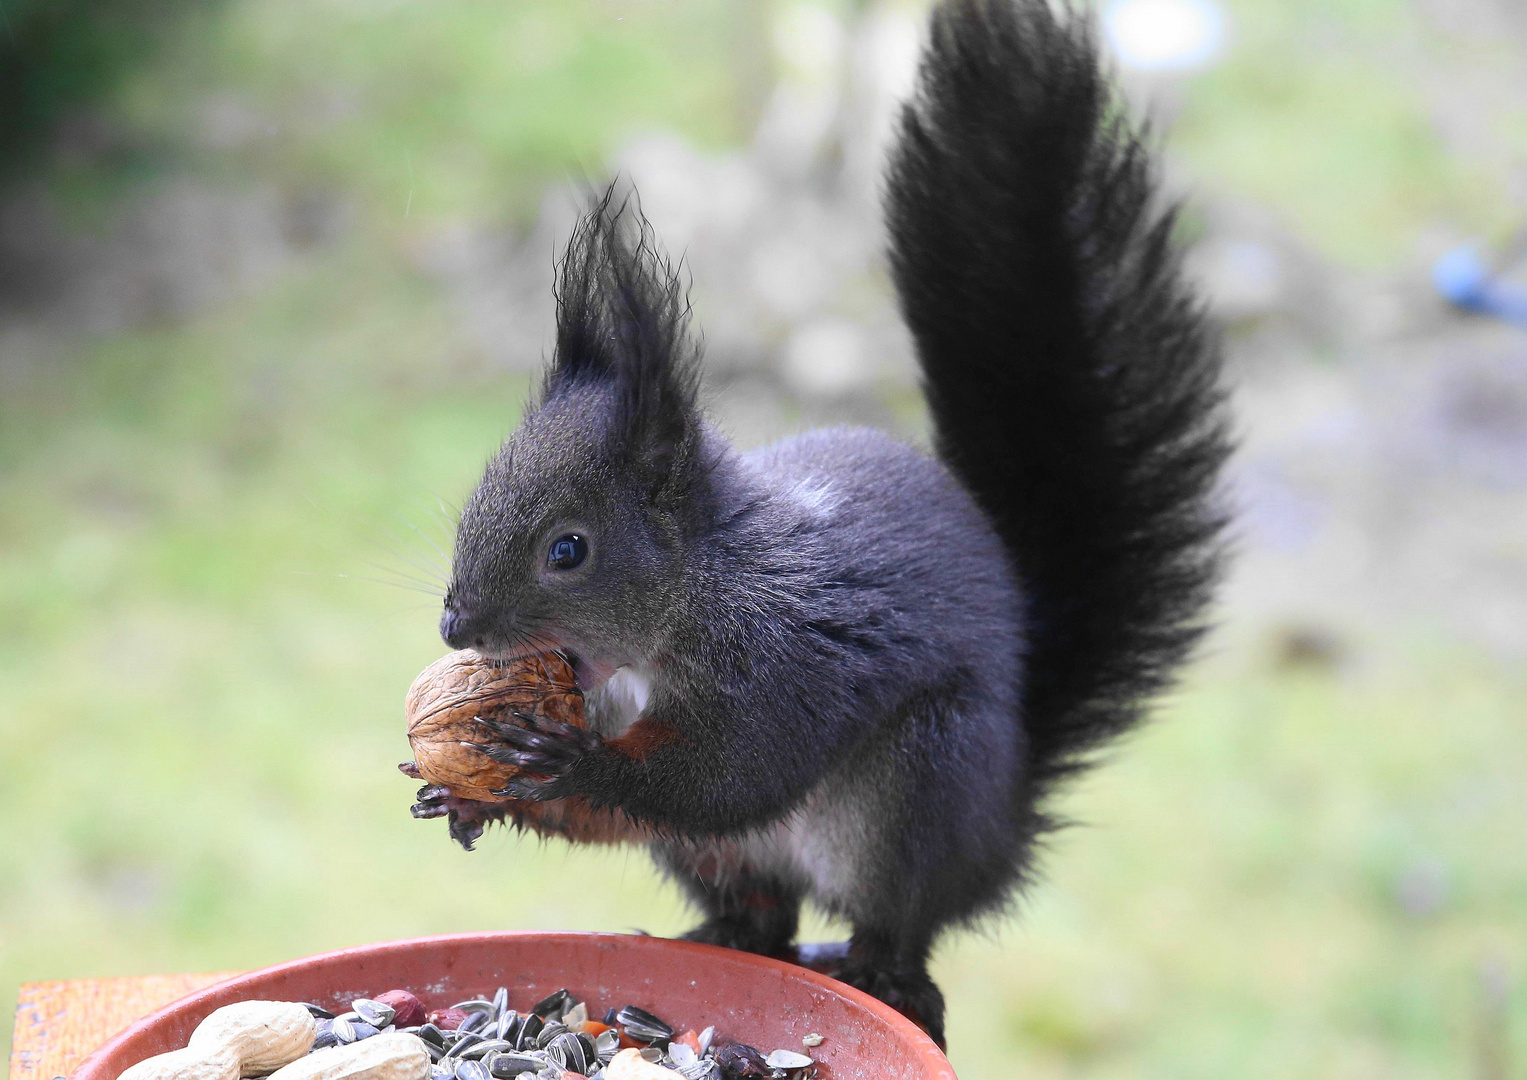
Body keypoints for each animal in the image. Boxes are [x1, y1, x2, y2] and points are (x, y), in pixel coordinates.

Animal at [409, 0, 1227, 1044]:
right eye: (477, 498)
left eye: (568, 550)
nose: (455, 627)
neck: (688, 596)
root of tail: (1002, 832)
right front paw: (460, 794)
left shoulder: (788, 660)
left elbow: (724, 774)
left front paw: (567, 763)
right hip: (715, 856)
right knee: (762, 910)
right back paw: (719, 936)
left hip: (920, 787)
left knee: (896, 918)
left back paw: (885, 969)